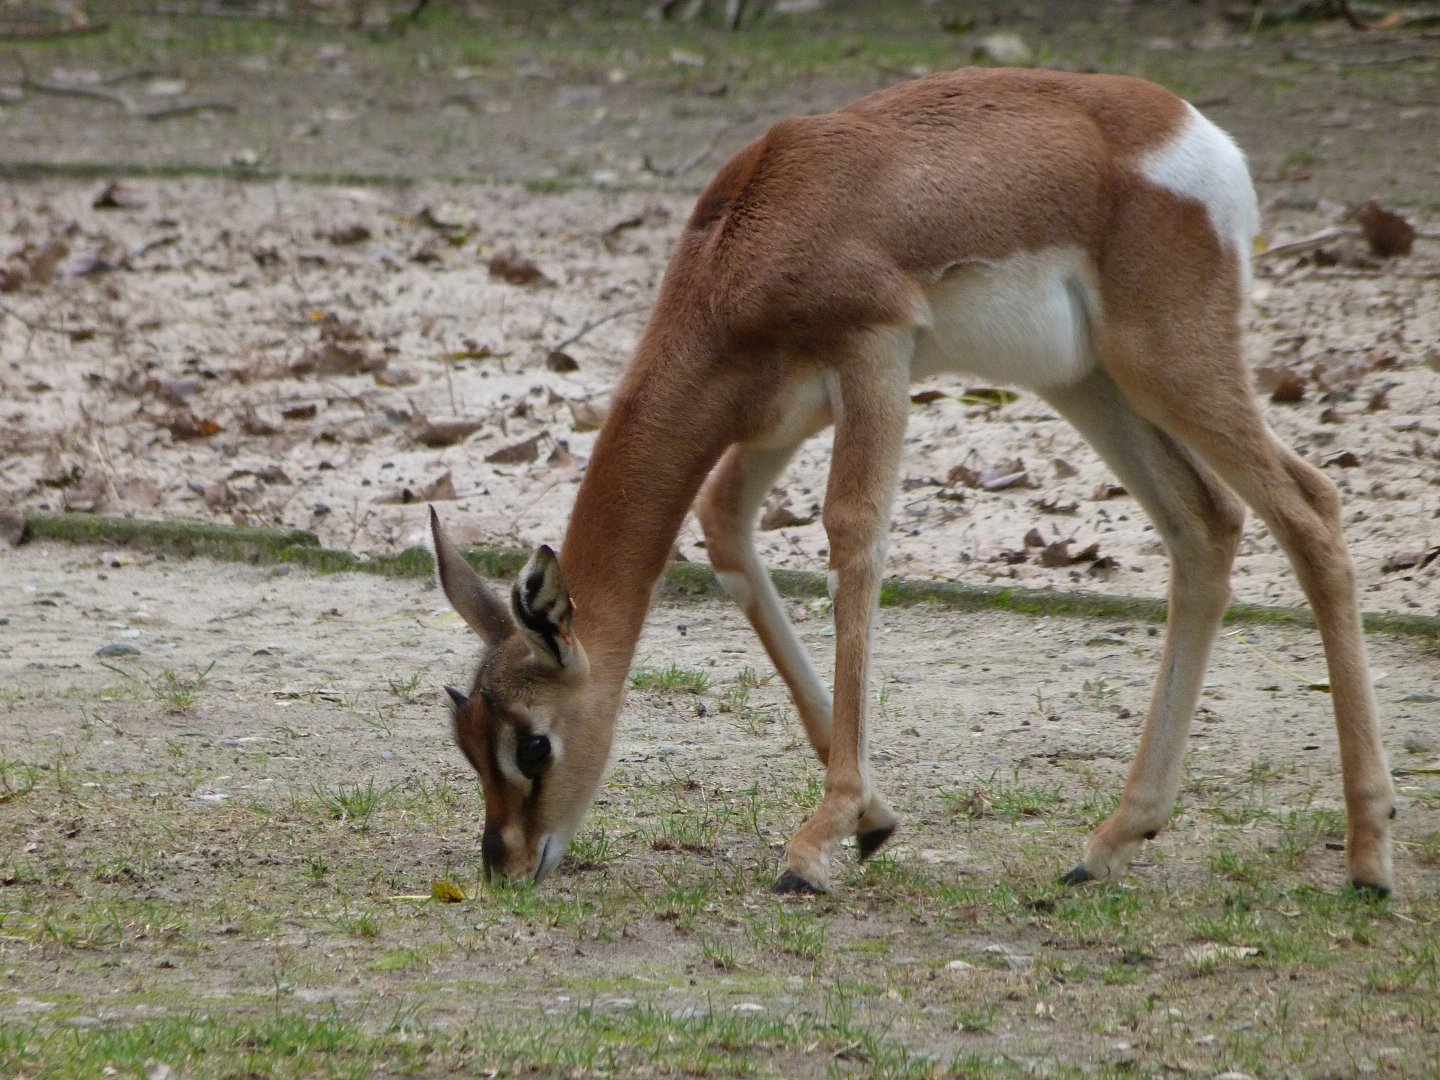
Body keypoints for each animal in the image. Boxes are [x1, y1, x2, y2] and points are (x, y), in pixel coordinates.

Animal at [431, 68, 1395, 896]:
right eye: (465, 736)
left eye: (533, 745)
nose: (505, 864)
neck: (751, 235)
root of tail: (1197, 136)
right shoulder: (775, 414)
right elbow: (724, 522)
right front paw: (872, 821)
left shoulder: (875, 353)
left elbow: (854, 533)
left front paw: (815, 843)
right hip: (1089, 383)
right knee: (1206, 524)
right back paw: (1109, 843)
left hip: (1168, 365)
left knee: (1310, 507)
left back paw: (1368, 860)